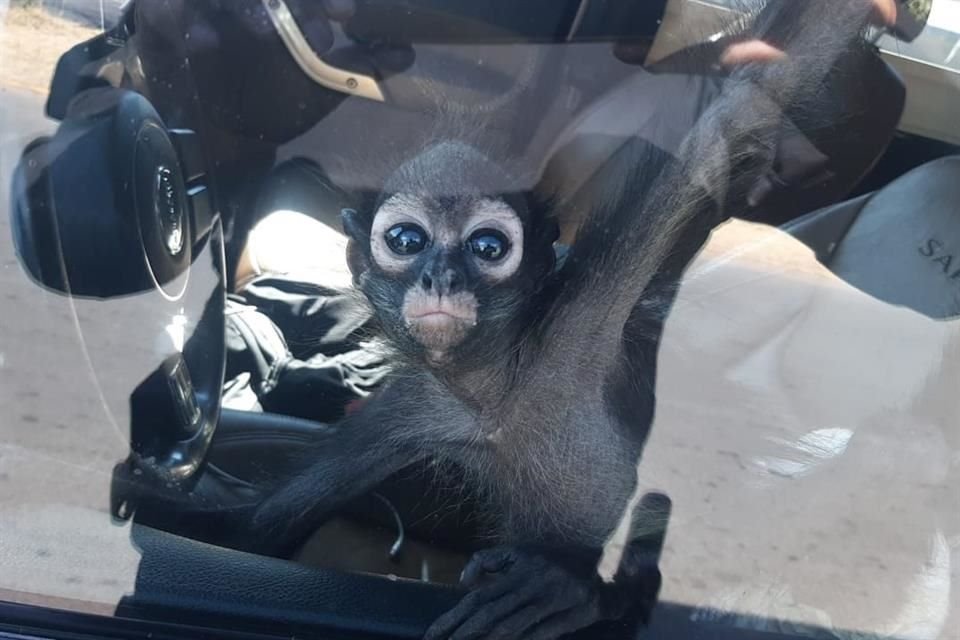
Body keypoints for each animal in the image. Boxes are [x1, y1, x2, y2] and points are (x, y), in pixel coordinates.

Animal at [249, 2, 884, 636]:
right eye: (407, 240)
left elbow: (756, 92)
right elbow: (269, 522)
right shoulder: (414, 408)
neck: (505, 389)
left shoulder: (588, 313)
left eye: (487, 247)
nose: (442, 278)